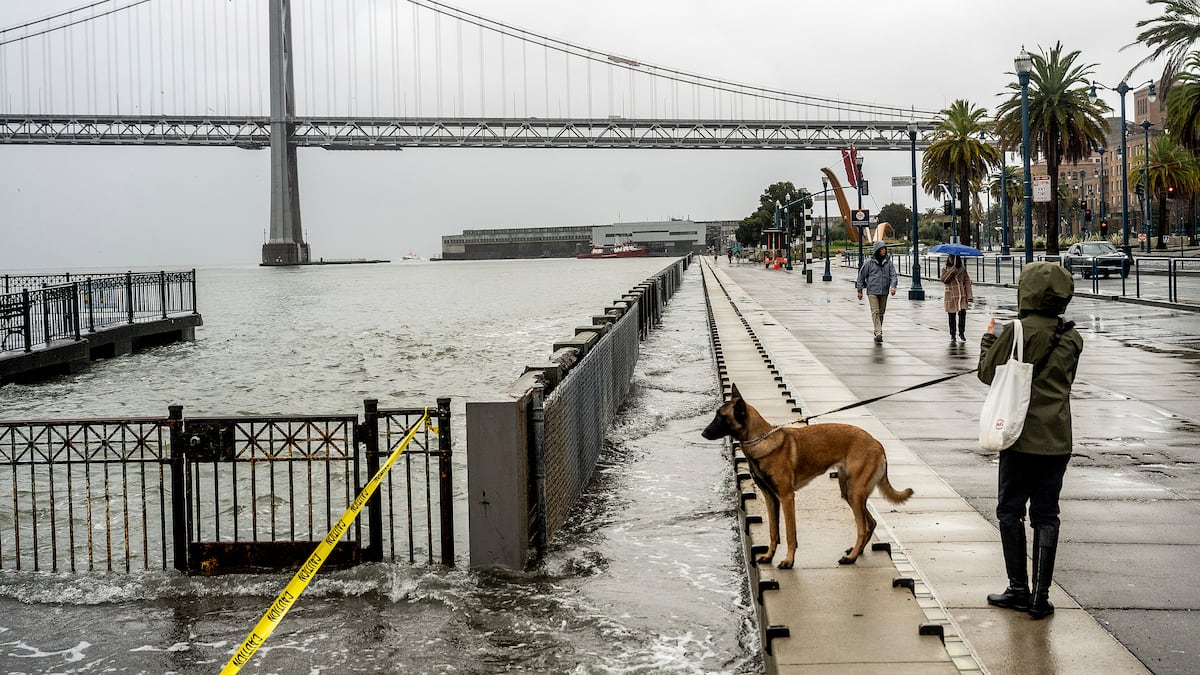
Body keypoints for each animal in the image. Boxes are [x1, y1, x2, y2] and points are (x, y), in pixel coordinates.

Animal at [700, 381, 912, 564]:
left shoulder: (787, 497)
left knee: (863, 527)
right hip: (849, 492)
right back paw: (855, 552)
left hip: (855, 492)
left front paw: (788, 561)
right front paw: (769, 556)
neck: (761, 439)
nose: (703, 433)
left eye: (721, 417)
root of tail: (877, 443)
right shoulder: (770, 497)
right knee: (871, 523)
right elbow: (773, 531)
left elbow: (789, 534)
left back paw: (851, 558)